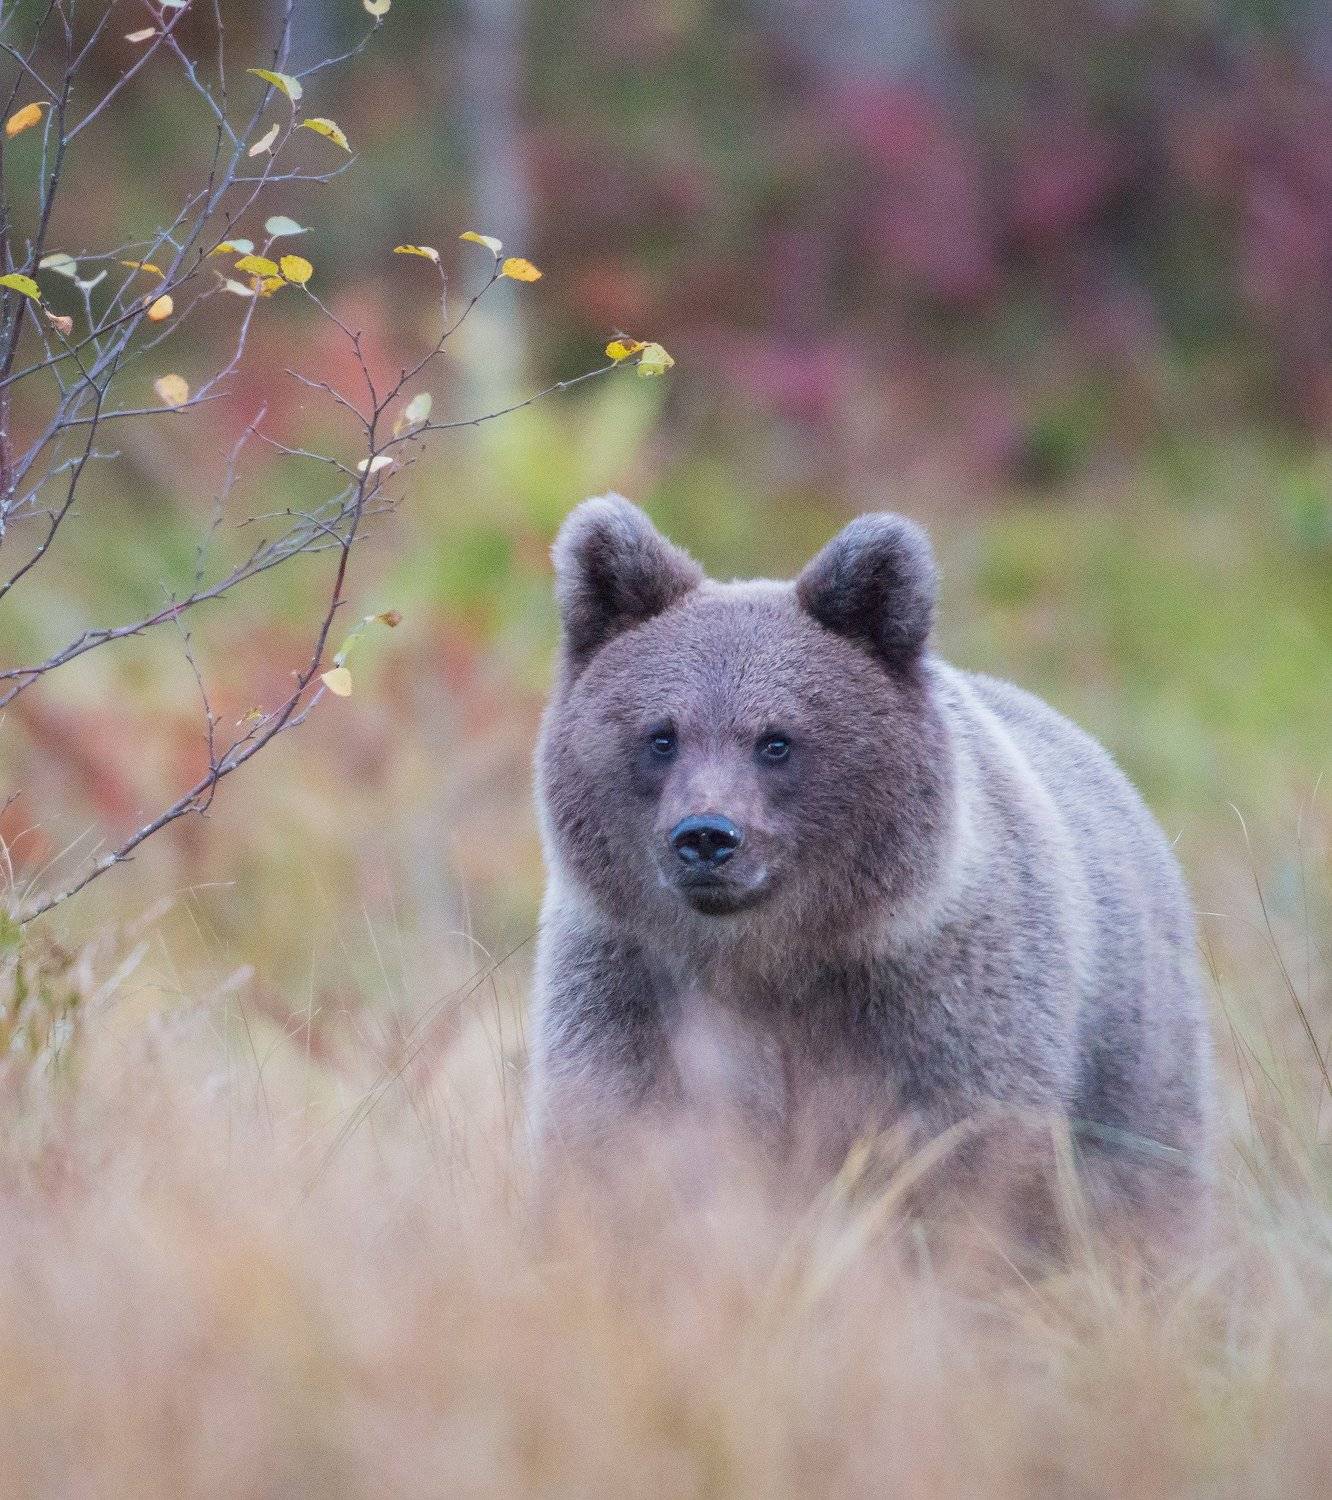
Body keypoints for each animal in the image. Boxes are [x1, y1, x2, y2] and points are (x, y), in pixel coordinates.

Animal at [530, 495, 1215, 1245]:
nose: (706, 836)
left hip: (1134, 1057)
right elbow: (611, 1135)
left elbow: (965, 1156)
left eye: (777, 741)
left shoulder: (942, 998)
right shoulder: (630, 981)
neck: (764, 958)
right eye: (661, 735)